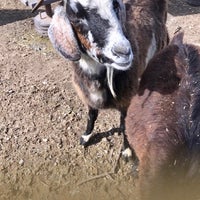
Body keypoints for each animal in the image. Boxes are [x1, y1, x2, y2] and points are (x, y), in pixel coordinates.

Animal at [48, 0, 169, 157]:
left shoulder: (126, 102)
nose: (123, 52)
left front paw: (127, 151)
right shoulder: (89, 98)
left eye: (116, 6)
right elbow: (91, 116)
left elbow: (124, 126)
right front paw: (85, 137)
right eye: (75, 16)